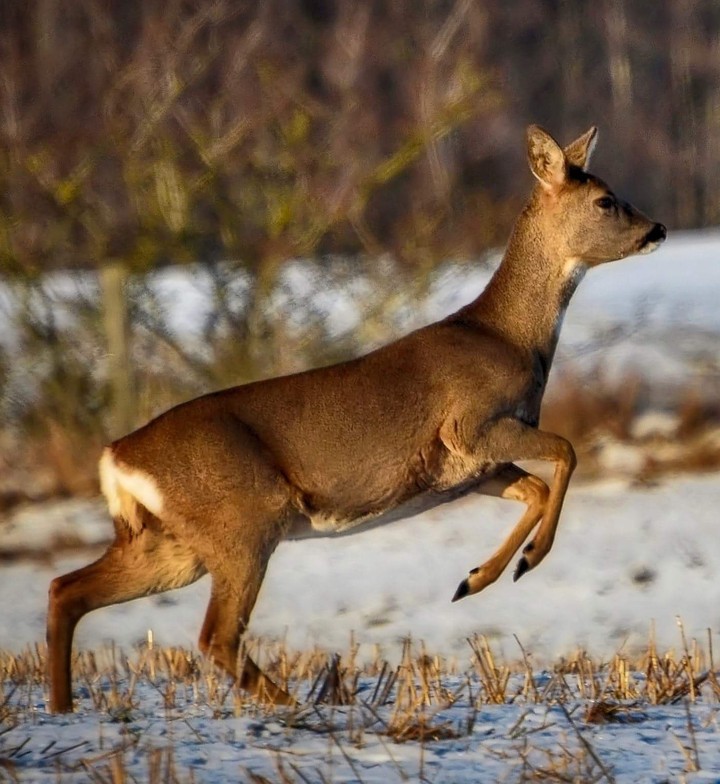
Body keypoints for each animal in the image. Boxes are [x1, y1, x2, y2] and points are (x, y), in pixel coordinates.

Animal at [47, 125, 666, 712]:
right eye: (606, 200)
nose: (657, 229)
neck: (509, 338)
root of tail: (115, 456)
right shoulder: (471, 425)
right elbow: (567, 450)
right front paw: (525, 563)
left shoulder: (470, 467)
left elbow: (536, 487)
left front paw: (476, 579)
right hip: (242, 521)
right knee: (215, 636)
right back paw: (304, 707)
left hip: (172, 542)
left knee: (65, 589)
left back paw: (64, 710)